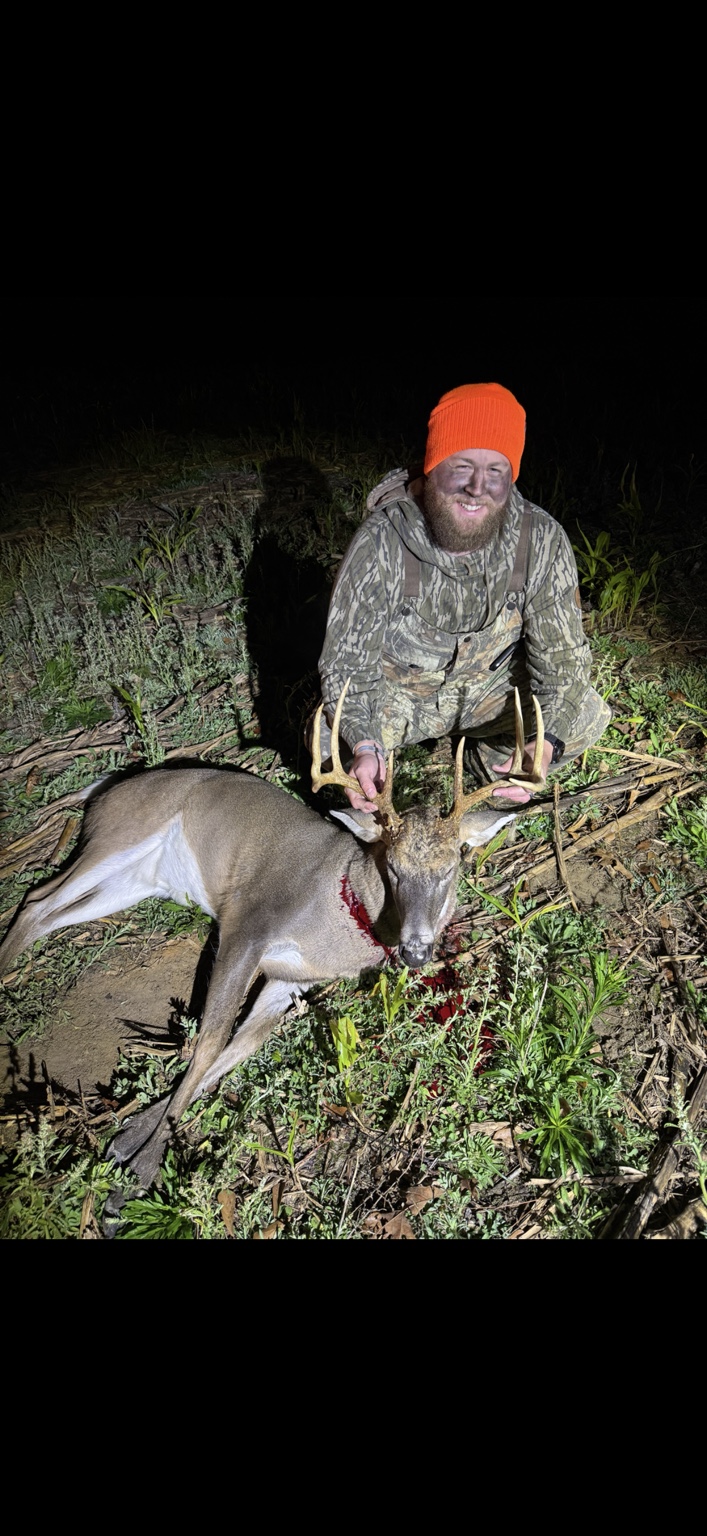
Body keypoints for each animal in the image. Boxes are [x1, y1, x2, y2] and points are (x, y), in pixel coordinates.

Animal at [0, 683, 545, 1193]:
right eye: (392, 865)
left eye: (452, 867)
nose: (416, 950)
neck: (342, 906)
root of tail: (103, 788)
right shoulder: (248, 924)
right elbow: (208, 1042)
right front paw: (142, 1172)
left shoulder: (289, 981)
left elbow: (234, 1051)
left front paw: (130, 1138)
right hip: (120, 835)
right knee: (35, 898)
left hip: (135, 881)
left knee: (45, 912)